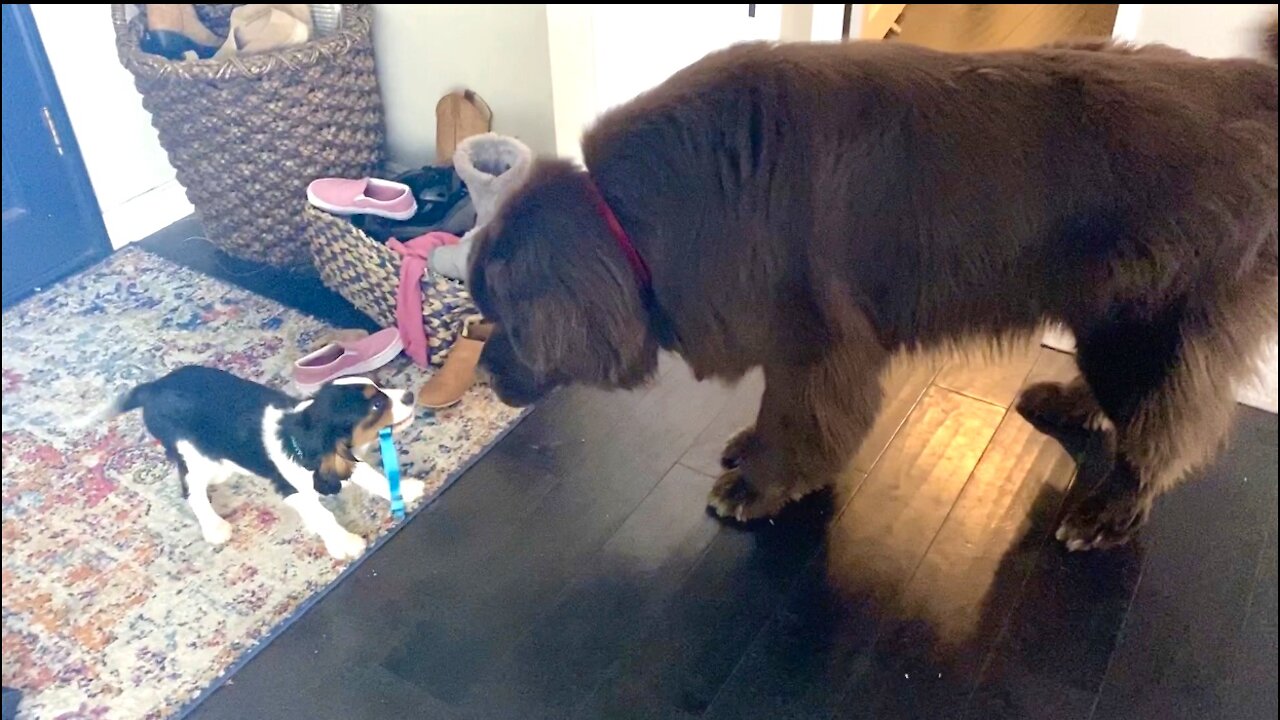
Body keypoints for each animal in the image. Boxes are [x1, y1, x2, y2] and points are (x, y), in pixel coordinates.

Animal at [107, 366, 422, 558]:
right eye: (377, 405)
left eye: (381, 386)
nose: (409, 395)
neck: (301, 432)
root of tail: (152, 388)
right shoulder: (291, 489)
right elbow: (323, 515)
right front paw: (344, 543)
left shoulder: (341, 459)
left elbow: (373, 477)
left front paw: (405, 490)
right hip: (193, 456)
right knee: (192, 492)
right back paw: (214, 527)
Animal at [465, 30, 1274, 548]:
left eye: (506, 319)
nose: (482, 371)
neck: (638, 220)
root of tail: (1252, 88)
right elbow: (778, 408)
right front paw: (750, 450)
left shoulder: (818, 343)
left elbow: (799, 418)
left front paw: (759, 484)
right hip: (1104, 308)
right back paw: (1071, 404)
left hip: (1147, 321)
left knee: (1164, 425)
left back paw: (1107, 511)